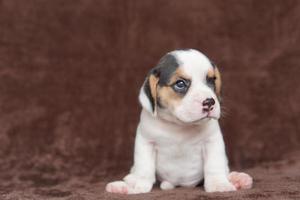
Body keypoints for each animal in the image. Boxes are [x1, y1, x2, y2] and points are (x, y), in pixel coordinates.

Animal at [105, 48, 253, 194]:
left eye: (211, 80)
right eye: (180, 84)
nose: (209, 102)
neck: (179, 125)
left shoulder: (212, 141)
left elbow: (214, 165)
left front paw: (218, 184)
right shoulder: (146, 142)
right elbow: (144, 168)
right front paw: (138, 185)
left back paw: (238, 179)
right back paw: (123, 185)